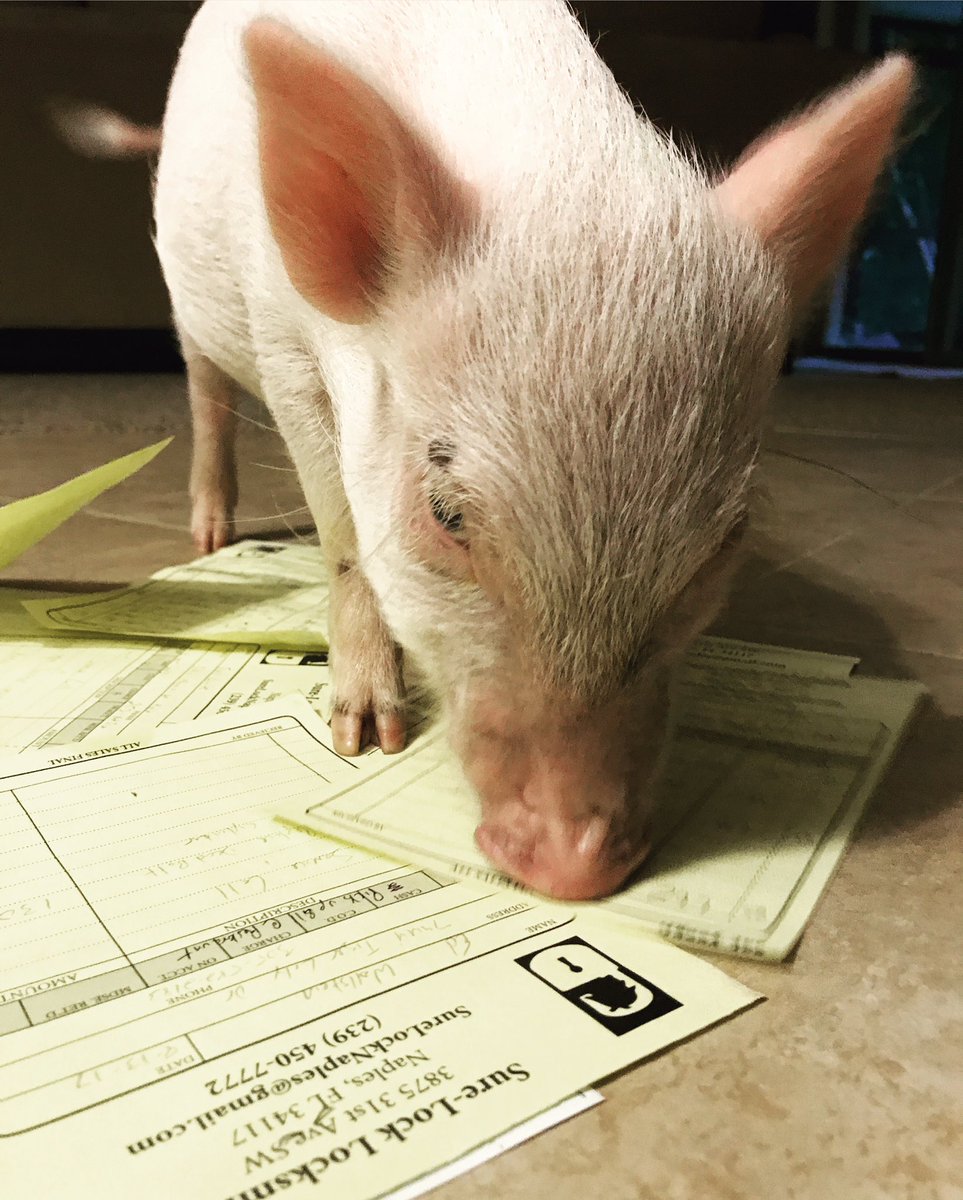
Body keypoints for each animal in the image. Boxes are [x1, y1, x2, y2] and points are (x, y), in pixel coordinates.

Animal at [152, 0, 914, 900]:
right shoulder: (285, 349)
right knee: (206, 394)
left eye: (725, 540)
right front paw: (366, 740)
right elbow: (342, 540)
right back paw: (209, 537)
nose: (573, 869)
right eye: (444, 514)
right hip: (193, 306)